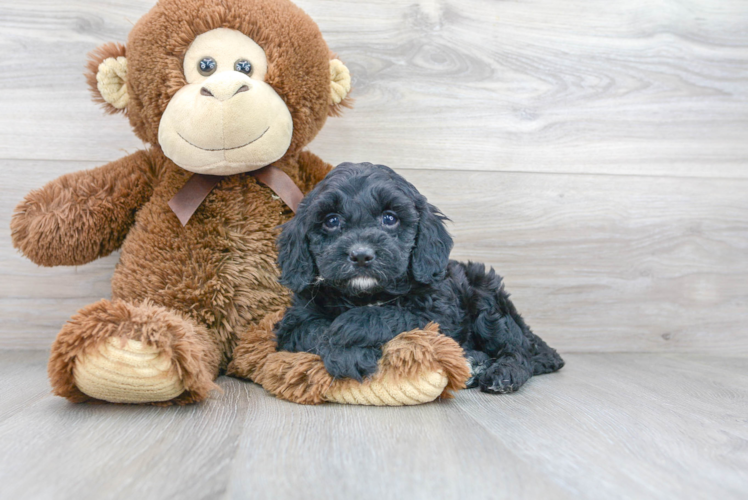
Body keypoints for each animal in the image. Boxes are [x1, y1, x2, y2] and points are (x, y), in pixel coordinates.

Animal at [274, 162, 560, 392]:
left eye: (390, 218)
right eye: (331, 221)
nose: (361, 255)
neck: (366, 295)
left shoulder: (438, 312)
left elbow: (394, 315)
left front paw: (350, 327)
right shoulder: (293, 323)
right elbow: (315, 330)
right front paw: (348, 354)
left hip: (485, 299)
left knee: (519, 349)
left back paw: (504, 373)